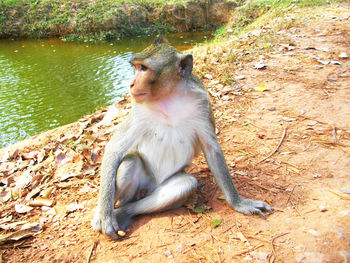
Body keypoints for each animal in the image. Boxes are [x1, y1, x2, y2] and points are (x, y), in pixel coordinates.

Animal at [91, 37, 274, 241]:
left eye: (143, 68)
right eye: (136, 67)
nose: (131, 84)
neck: (169, 97)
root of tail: (148, 188)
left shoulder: (202, 103)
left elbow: (212, 150)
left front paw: (238, 203)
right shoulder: (139, 110)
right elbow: (115, 148)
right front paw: (105, 216)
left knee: (185, 184)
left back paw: (125, 212)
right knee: (130, 161)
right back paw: (114, 211)